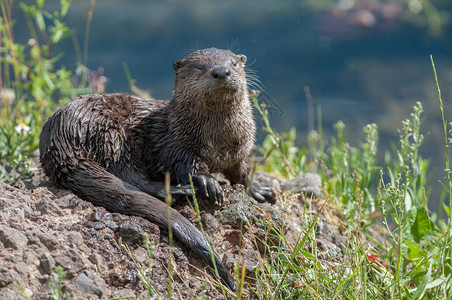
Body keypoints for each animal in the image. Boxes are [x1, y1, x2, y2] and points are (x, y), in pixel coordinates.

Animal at [39, 47, 276, 290]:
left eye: (233, 64)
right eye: (200, 66)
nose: (221, 71)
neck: (219, 140)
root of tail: (61, 134)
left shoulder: (240, 151)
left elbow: (243, 173)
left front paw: (260, 191)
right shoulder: (177, 143)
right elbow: (187, 165)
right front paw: (209, 182)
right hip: (112, 135)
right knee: (131, 177)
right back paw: (179, 190)